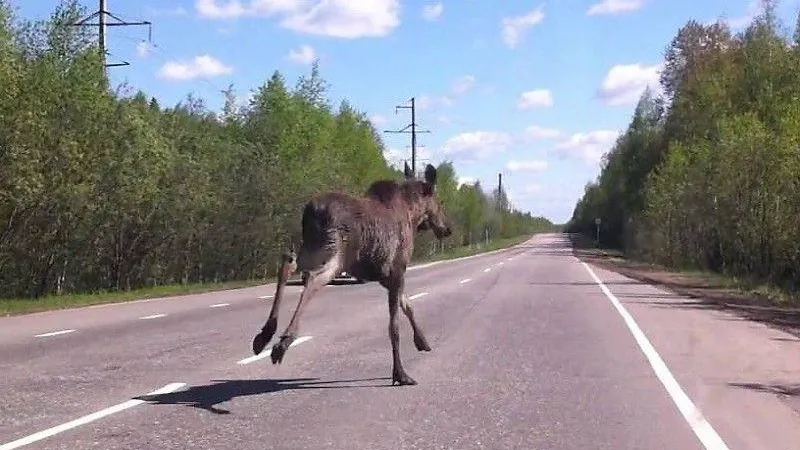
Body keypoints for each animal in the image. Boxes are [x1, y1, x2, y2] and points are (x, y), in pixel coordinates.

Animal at [250, 163, 450, 384]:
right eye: (439, 202)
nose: (447, 228)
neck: (412, 215)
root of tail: (311, 211)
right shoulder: (397, 269)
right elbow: (394, 325)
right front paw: (400, 373)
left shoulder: (384, 276)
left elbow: (407, 305)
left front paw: (422, 341)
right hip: (335, 253)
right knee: (312, 279)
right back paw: (284, 341)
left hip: (311, 248)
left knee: (288, 264)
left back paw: (265, 335)